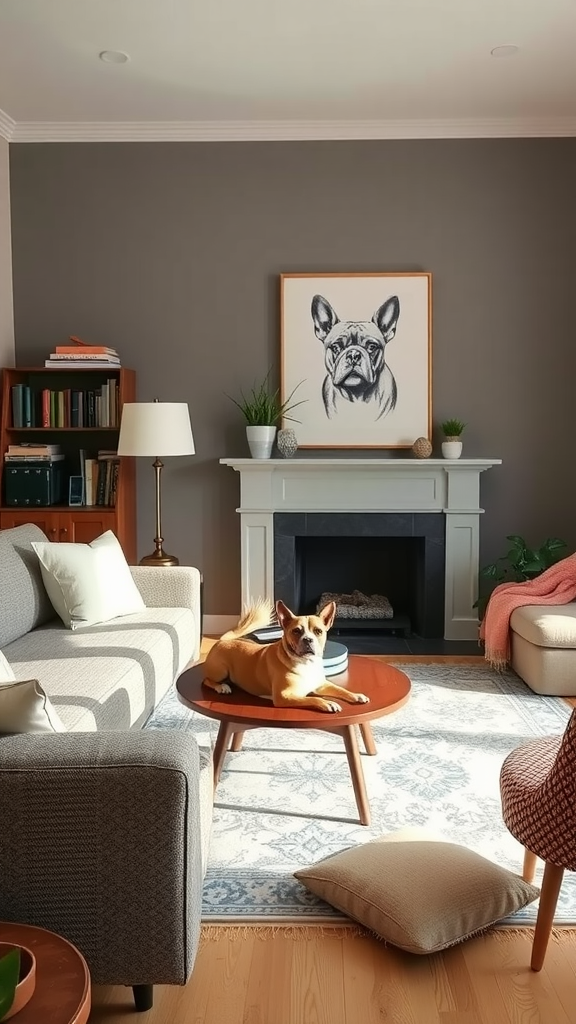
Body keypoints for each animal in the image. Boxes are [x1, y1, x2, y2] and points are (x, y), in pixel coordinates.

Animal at [201, 598, 368, 712]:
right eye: (296, 631)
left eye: (318, 631)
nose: (308, 639)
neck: (306, 663)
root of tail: (223, 640)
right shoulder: (284, 696)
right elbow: (312, 699)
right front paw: (327, 703)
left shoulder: (321, 685)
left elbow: (340, 689)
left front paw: (356, 695)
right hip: (220, 671)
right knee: (207, 680)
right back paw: (221, 687)